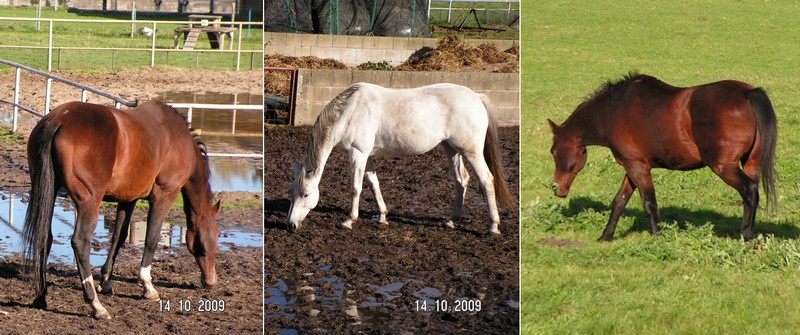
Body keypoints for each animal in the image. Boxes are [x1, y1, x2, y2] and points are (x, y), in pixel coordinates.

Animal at [22, 100, 222, 320]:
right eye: (212, 237)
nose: (210, 280)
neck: (178, 140)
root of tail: (60, 119)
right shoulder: (164, 196)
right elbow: (151, 239)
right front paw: (147, 286)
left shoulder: (128, 199)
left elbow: (118, 237)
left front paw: (106, 282)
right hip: (89, 203)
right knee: (80, 242)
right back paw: (96, 306)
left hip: (49, 190)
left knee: (44, 238)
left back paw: (41, 296)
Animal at [284, 82, 516, 235]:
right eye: (291, 193)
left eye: (306, 194)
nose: (290, 225)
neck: (349, 112)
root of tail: (477, 96)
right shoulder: (368, 156)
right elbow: (374, 184)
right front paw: (383, 216)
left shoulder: (358, 154)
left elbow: (356, 187)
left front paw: (349, 220)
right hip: (452, 149)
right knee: (462, 180)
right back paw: (451, 221)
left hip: (471, 152)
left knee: (486, 180)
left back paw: (493, 226)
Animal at [552, 73, 776, 242]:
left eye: (553, 151)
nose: (557, 188)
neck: (613, 110)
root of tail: (748, 93)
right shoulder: (633, 166)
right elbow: (619, 201)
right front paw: (606, 236)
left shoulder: (637, 167)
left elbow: (649, 202)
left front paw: (658, 236)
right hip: (751, 163)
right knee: (752, 195)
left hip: (724, 167)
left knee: (749, 190)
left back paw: (746, 234)